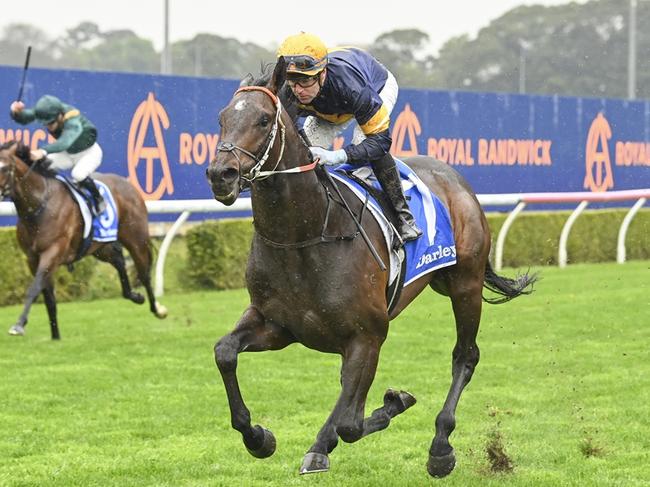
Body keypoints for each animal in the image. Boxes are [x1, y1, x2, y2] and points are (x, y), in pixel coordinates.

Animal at [0, 140, 167, 340]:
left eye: (4, 167)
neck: (40, 205)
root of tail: (129, 185)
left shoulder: (52, 253)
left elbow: (34, 289)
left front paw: (18, 325)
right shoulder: (32, 259)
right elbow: (48, 298)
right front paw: (55, 337)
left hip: (136, 239)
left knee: (144, 273)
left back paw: (158, 309)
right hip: (100, 246)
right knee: (119, 260)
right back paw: (134, 296)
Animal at [205, 59, 536, 478]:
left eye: (264, 120)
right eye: (221, 118)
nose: (221, 174)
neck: (306, 235)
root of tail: (456, 180)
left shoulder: (368, 335)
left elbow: (350, 423)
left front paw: (395, 403)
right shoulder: (278, 325)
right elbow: (225, 352)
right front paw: (258, 437)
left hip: (465, 283)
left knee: (465, 355)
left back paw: (440, 447)